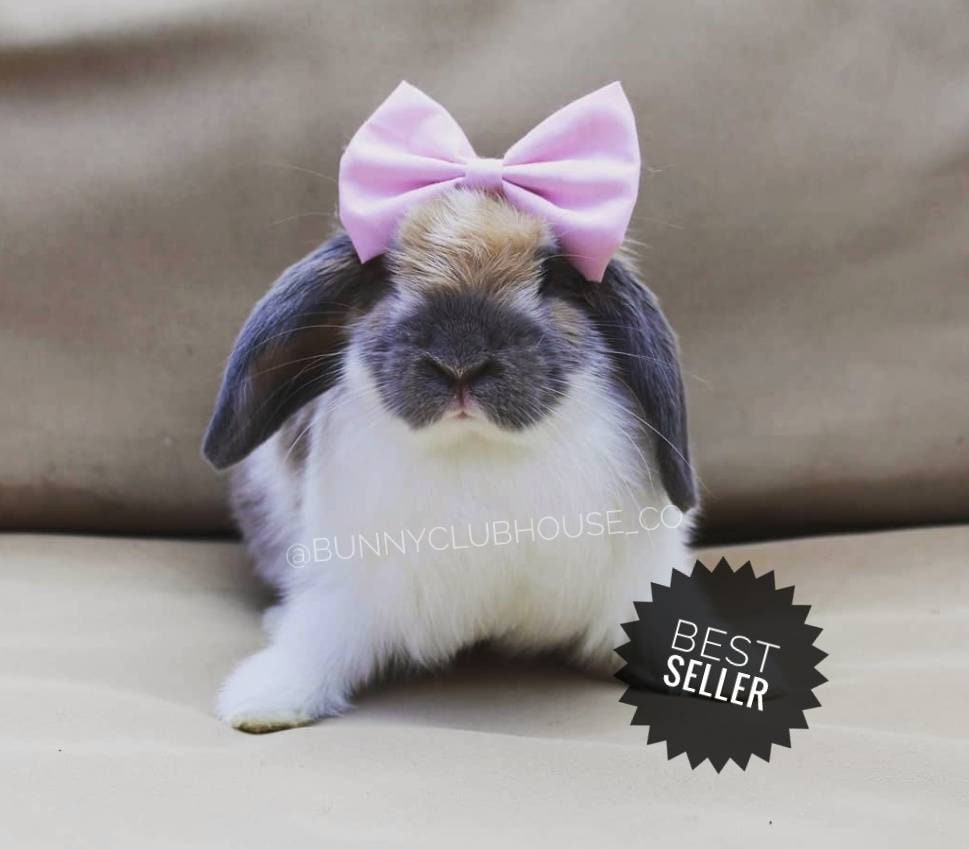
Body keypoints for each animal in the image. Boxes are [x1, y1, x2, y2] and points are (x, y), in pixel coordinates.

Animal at [203, 188, 697, 733]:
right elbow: (318, 641)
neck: (476, 447)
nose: (460, 361)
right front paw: (262, 700)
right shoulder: (347, 588)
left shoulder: (632, 576)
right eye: (385, 276)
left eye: (553, 276)